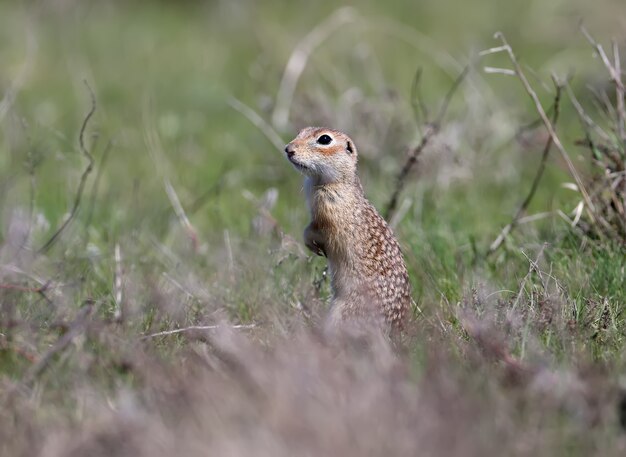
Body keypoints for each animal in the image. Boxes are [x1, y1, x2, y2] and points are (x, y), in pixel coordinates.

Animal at [282, 126, 410, 330]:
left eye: (324, 139)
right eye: (302, 131)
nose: (288, 149)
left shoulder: (328, 213)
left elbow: (318, 229)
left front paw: (313, 243)